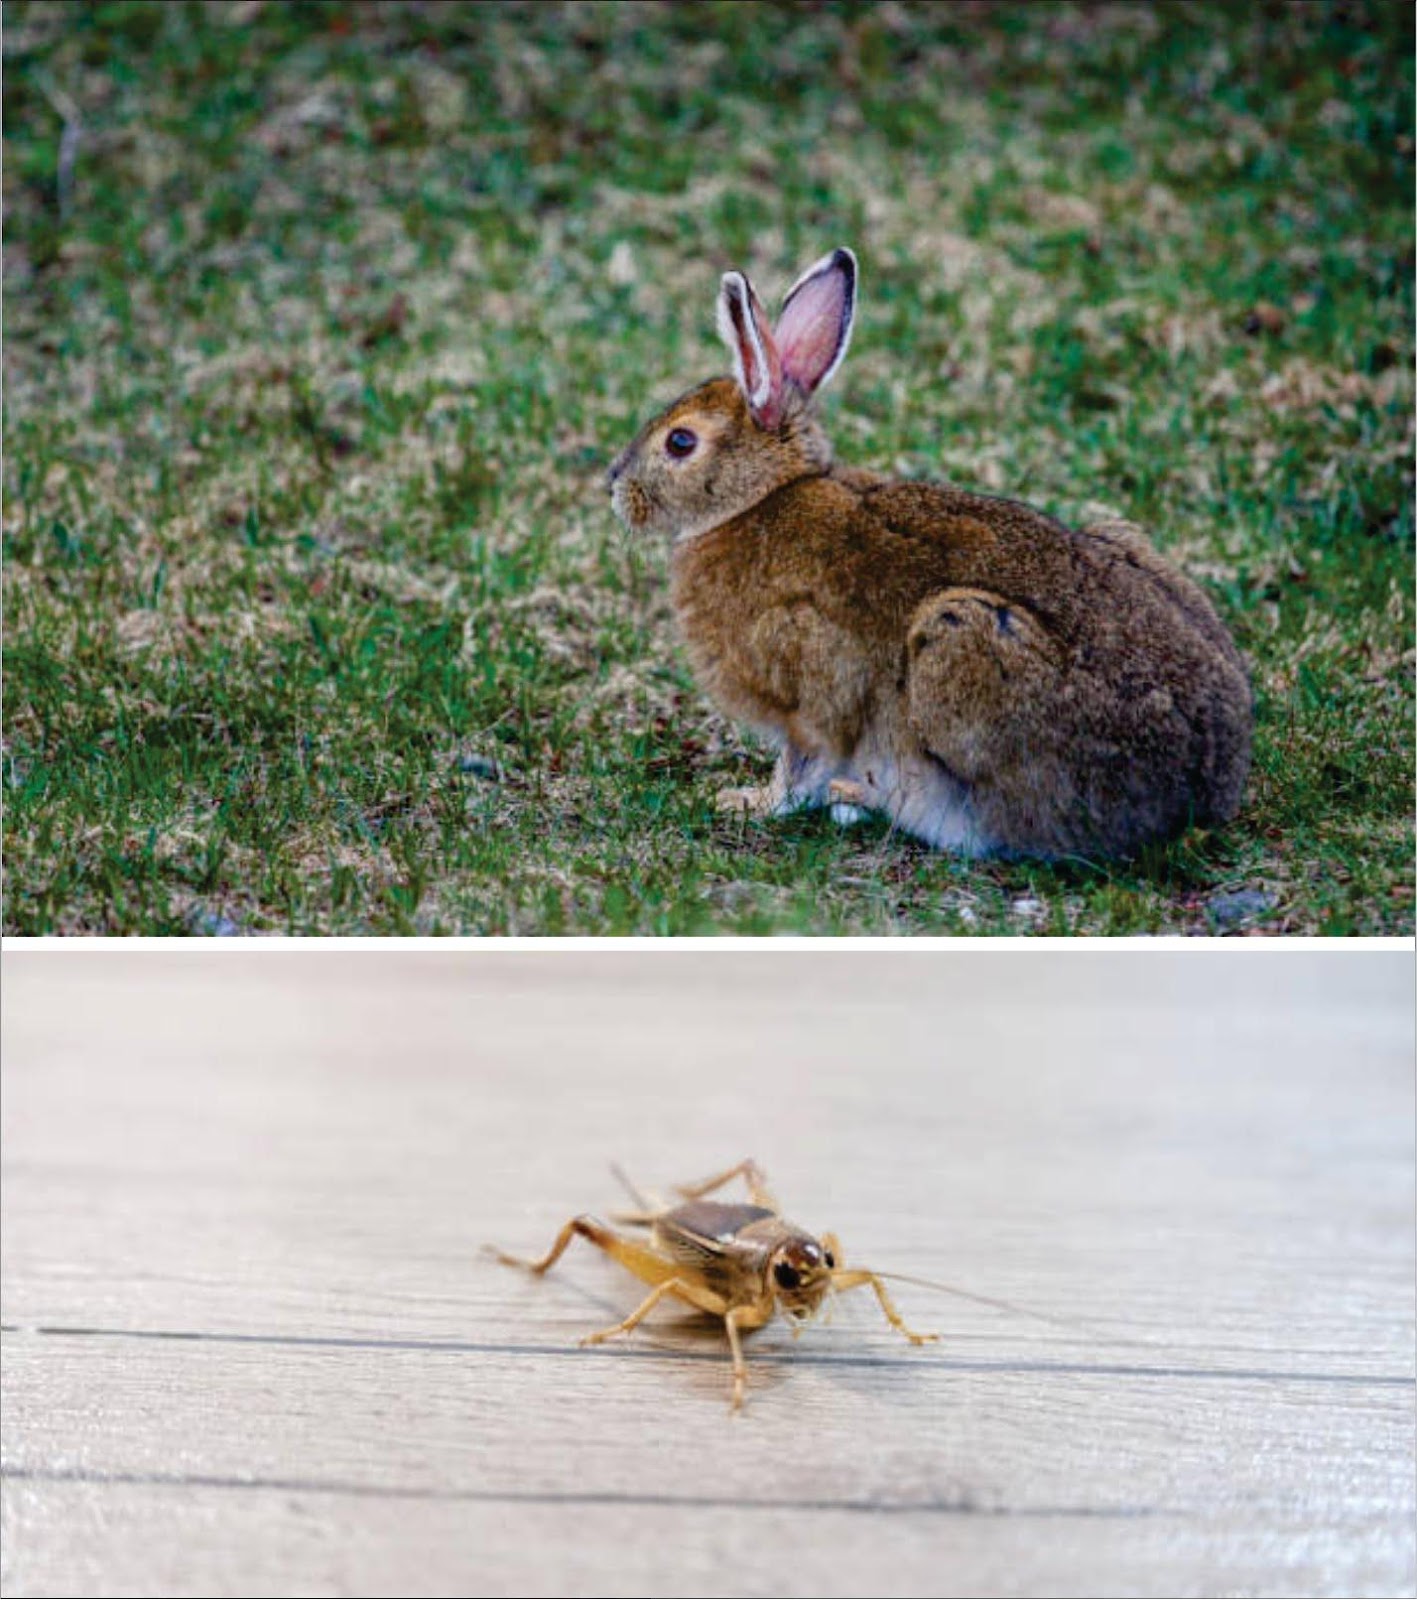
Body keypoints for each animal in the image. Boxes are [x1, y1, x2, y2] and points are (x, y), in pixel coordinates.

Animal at [607, 247, 1252, 859]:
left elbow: (803, 763)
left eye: (680, 442)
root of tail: (1202, 792)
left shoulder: (812, 693)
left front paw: (747, 802)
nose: (614, 486)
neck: (756, 500)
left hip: (961, 638)